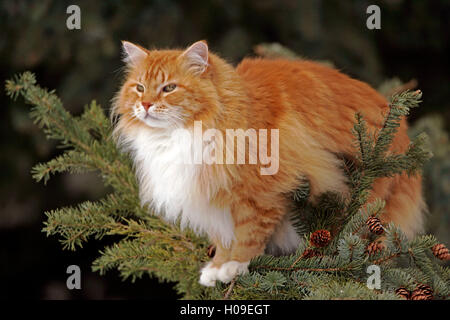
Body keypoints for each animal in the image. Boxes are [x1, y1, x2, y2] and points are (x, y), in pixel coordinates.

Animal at [111, 40, 426, 288]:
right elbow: (224, 238)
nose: (146, 105)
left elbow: (249, 234)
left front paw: (234, 266)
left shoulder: (261, 193)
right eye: (139, 88)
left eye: (169, 88)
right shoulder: (212, 197)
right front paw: (217, 267)